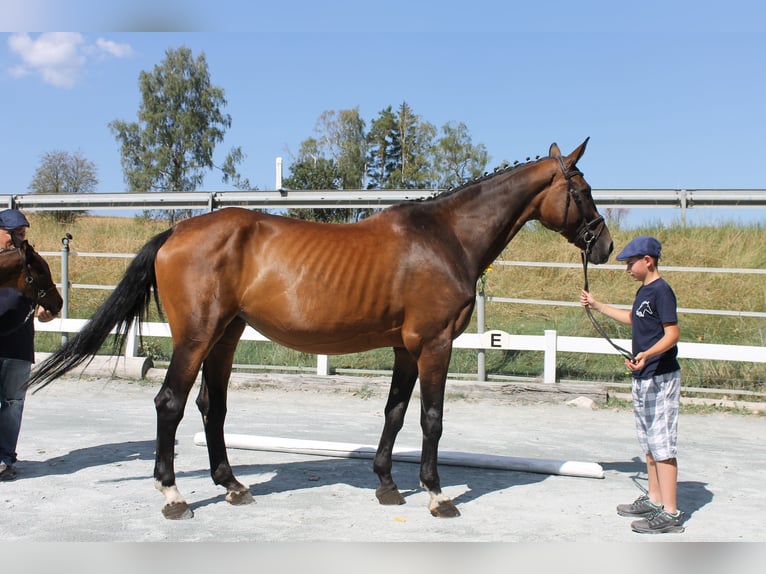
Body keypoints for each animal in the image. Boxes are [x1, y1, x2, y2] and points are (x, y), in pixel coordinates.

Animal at [28, 141, 612, 520]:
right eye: (583, 190)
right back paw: (173, 497)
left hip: (226, 336)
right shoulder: (435, 345)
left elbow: (395, 412)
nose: (604, 245)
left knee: (211, 408)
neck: (445, 236)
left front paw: (386, 485)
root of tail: (176, 230)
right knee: (169, 404)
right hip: (195, 337)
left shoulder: (406, 348)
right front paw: (436, 495)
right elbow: (431, 419)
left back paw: (233, 485)